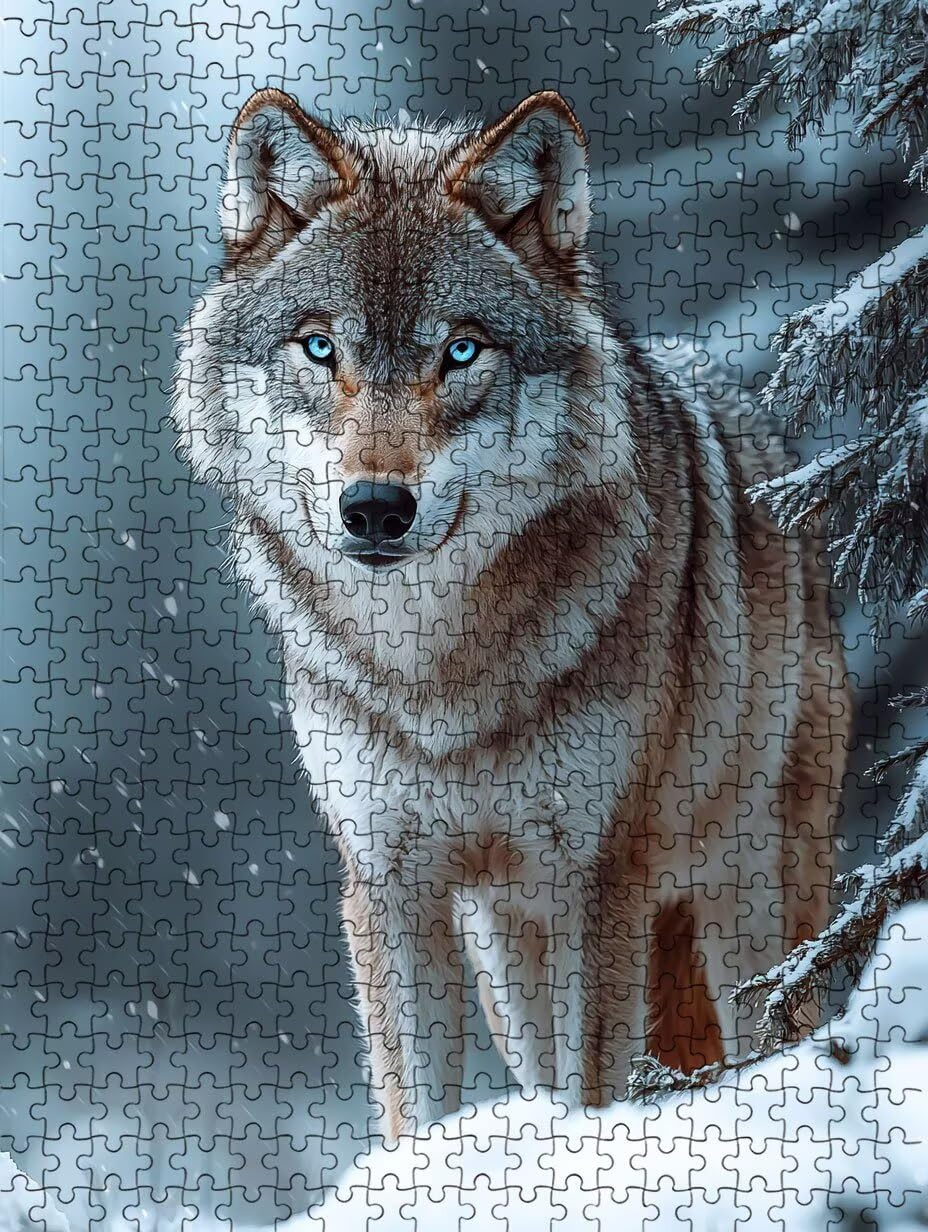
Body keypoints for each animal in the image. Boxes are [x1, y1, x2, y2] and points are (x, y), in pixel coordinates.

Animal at [173, 87, 850, 1138]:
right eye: (321, 346)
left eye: (461, 351)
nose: (376, 506)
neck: (435, 673)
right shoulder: (389, 881)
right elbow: (414, 1105)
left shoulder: (599, 880)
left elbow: (593, 1087)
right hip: (507, 950)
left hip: (751, 908)